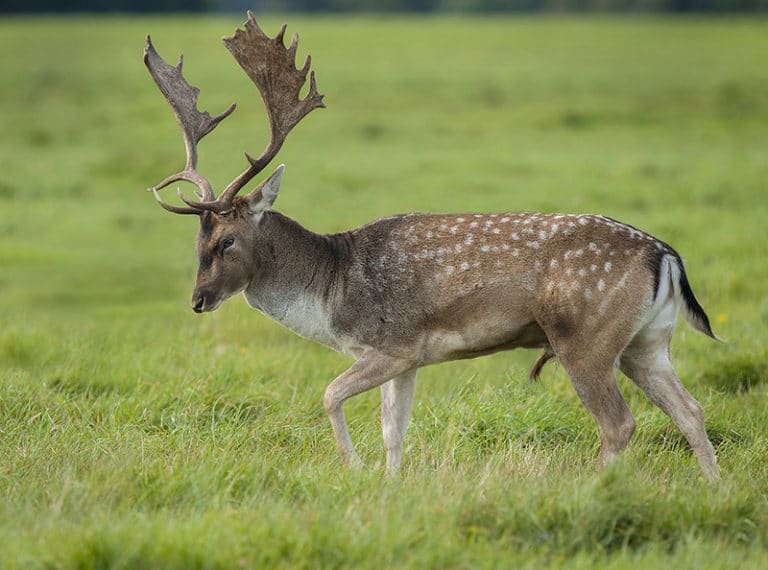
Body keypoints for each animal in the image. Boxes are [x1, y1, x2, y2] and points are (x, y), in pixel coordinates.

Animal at [142, 11, 720, 478]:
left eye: (228, 240)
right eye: (198, 239)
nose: (198, 300)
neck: (331, 292)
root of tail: (665, 256)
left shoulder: (392, 343)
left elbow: (329, 395)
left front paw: (354, 469)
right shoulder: (409, 359)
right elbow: (393, 431)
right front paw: (390, 483)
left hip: (585, 338)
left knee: (620, 424)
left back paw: (594, 488)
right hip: (647, 342)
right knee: (691, 411)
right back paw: (714, 489)